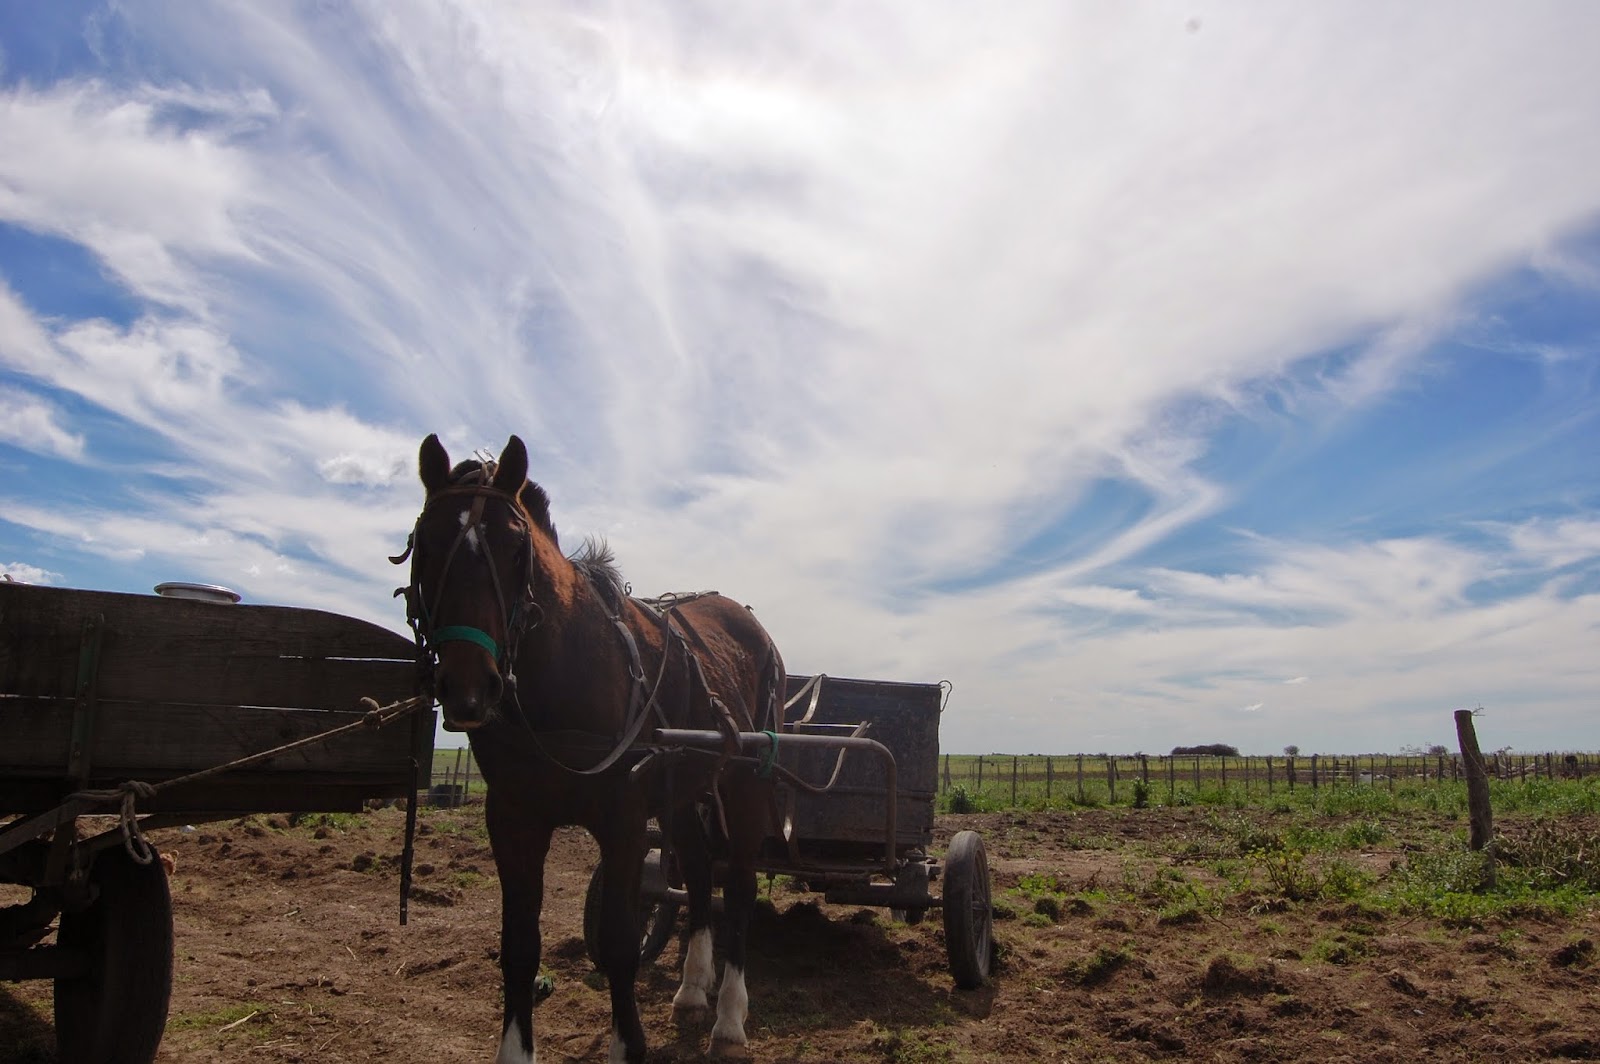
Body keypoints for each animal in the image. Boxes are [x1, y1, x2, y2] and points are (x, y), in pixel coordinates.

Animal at [400, 435, 787, 1056]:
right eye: (426, 544)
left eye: (515, 548)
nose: (468, 687)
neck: (567, 669)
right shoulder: (513, 818)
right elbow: (518, 948)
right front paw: (516, 1050)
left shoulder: (622, 819)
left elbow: (621, 943)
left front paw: (628, 1045)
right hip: (680, 794)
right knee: (699, 873)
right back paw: (692, 990)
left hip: (746, 783)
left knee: (739, 889)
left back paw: (729, 1019)